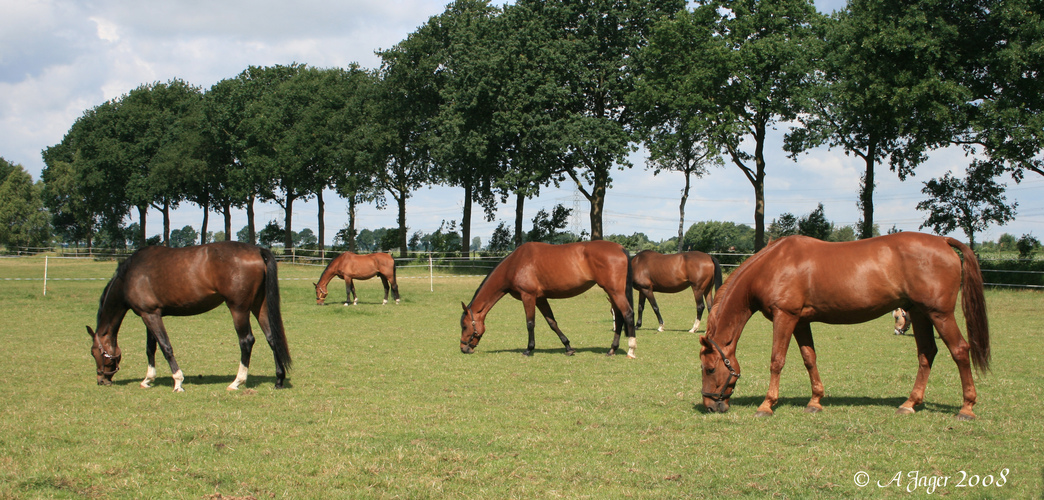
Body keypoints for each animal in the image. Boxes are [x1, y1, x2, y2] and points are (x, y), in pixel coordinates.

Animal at [87, 242, 292, 392]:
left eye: (94, 352)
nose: (101, 379)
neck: (130, 275)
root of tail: (257, 250)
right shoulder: (150, 314)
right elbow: (150, 348)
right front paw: (148, 379)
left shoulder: (151, 315)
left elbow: (165, 347)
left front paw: (178, 382)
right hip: (259, 306)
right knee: (272, 338)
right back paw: (279, 380)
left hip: (239, 309)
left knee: (246, 341)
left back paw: (237, 382)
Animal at [457, 241, 634, 359]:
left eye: (465, 326)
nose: (464, 348)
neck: (515, 263)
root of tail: (619, 248)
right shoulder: (541, 298)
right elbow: (552, 322)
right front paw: (568, 347)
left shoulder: (528, 296)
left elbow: (530, 323)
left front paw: (528, 349)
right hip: (612, 292)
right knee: (619, 317)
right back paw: (612, 350)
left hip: (615, 291)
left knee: (628, 314)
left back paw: (631, 350)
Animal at [701, 232, 985, 421]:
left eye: (709, 368)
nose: (709, 405)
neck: (772, 265)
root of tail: (943, 241)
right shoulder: (801, 321)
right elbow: (809, 358)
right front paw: (815, 401)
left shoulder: (786, 317)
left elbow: (777, 360)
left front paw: (766, 405)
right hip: (920, 312)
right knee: (927, 354)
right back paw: (910, 403)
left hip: (940, 314)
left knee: (960, 350)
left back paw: (967, 408)